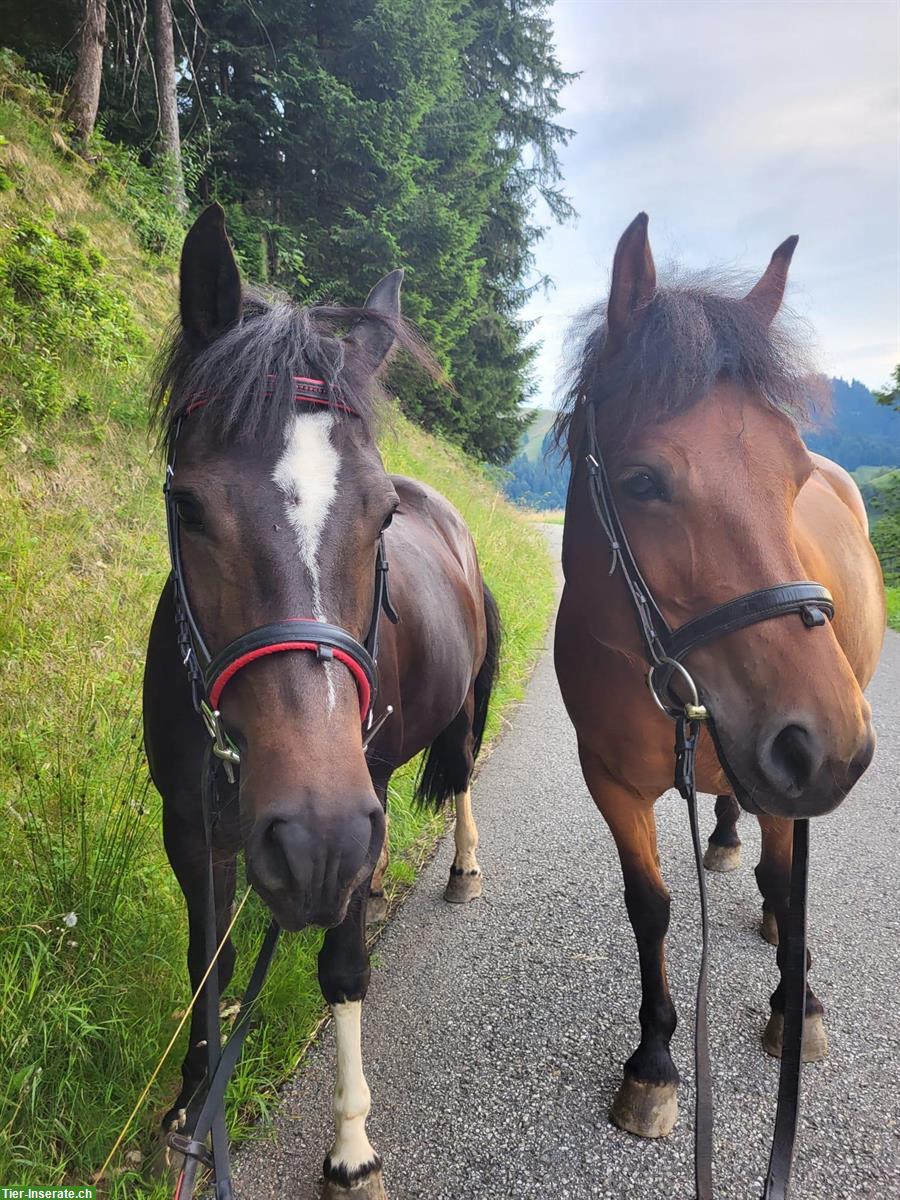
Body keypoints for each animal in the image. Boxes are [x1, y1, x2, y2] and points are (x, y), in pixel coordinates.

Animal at [144, 201, 504, 1195]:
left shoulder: (354, 797)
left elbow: (344, 972)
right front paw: (191, 1109)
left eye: (381, 516)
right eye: (188, 507)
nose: (315, 839)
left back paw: (458, 866)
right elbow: (210, 963)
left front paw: (351, 1144)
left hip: (448, 722)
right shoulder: (192, 825)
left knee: (461, 775)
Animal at [554, 213, 883, 1142]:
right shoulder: (608, 781)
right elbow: (651, 906)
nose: (832, 744)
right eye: (641, 480)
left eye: (793, 476)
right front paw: (655, 1060)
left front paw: (799, 1007)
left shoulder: (787, 775)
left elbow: (789, 882)